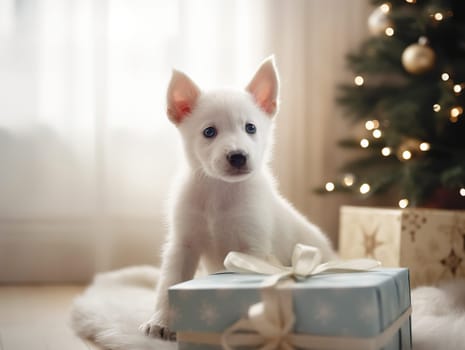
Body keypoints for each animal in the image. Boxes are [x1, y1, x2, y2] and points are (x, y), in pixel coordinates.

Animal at [140, 56, 336, 340]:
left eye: (250, 127)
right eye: (209, 132)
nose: (238, 156)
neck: (218, 192)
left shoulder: (252, 247)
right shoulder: (183, 244)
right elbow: (170, 281)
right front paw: (162, 321)